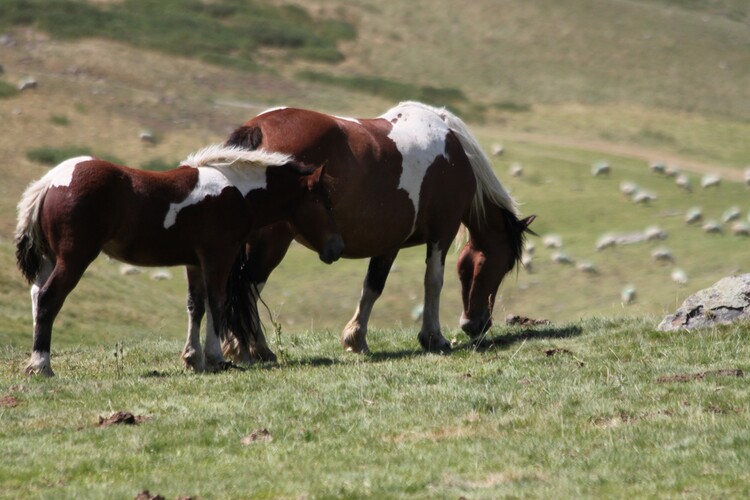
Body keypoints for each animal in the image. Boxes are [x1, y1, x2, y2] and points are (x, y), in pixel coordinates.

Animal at [15, 145, 344, 376]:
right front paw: (215, 358)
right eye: (325, 203)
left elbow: (195, 306)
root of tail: (50, 182)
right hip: (74, 258)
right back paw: (41, 365)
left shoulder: (194, 262)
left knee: (36, 296)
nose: (336, 248)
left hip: (50, 259)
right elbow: (217, 303)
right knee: (49, 299)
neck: (236, 191)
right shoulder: (218, 256)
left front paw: (192, 358)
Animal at [223, 101, 536, 362]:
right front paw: (433, 337)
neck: (454, 152)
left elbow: (372, 286)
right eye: (505, 266)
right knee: (249, 287)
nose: (476, 325)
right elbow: (433, 282)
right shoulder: (442, 232)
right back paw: (253, 348)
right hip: (272, 242)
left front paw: (356, 338)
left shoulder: (389, 242)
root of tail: (259, 128)